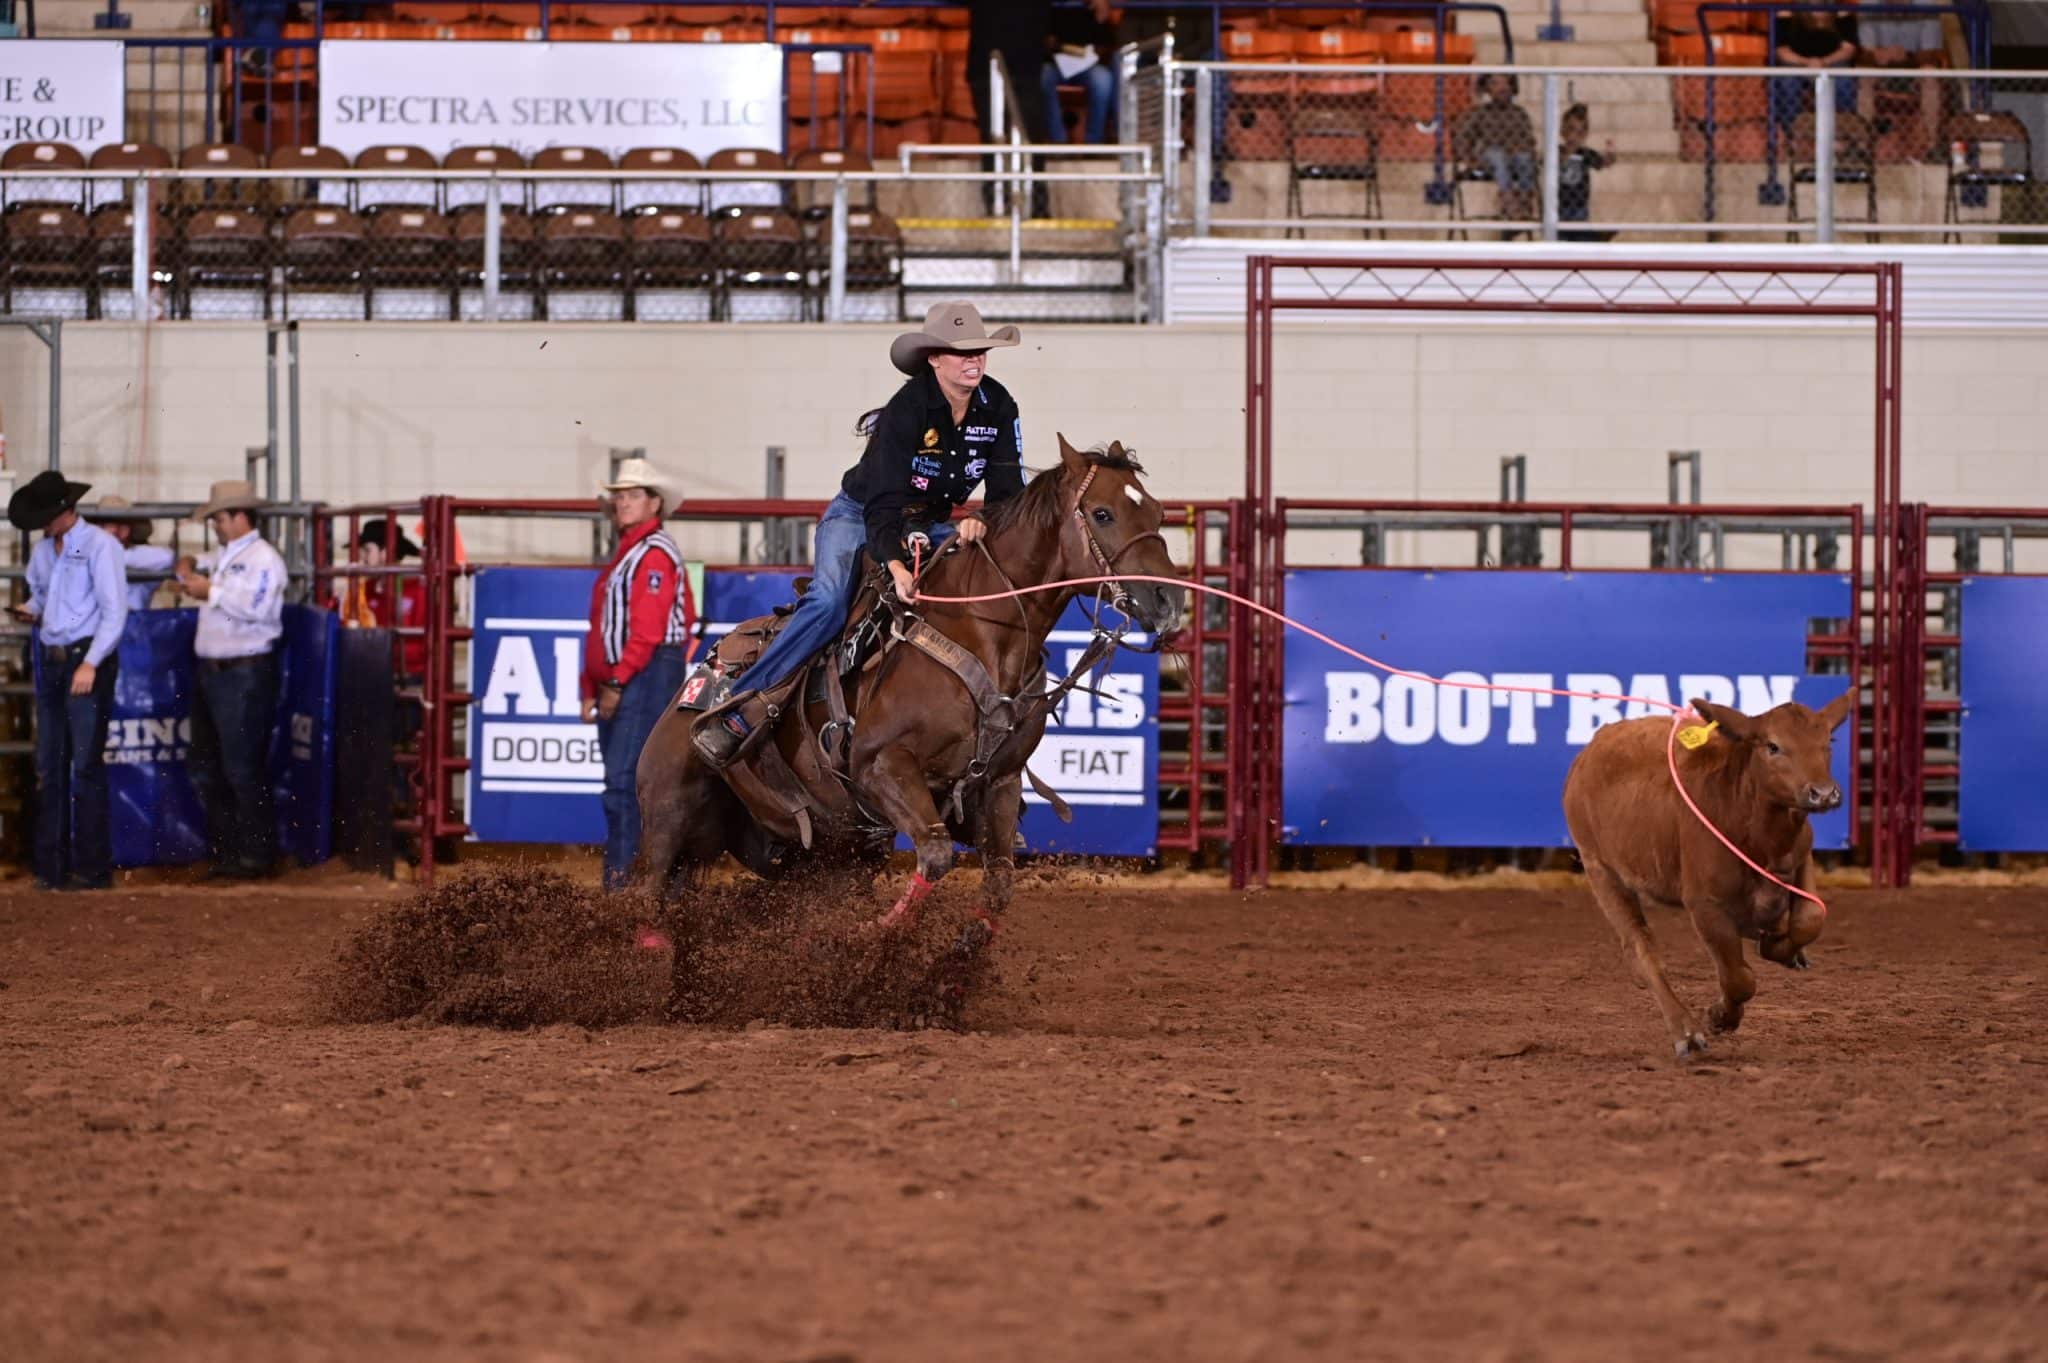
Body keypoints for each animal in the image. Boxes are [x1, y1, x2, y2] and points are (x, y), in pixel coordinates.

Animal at [634, 435, 1187, 925]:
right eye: (1103, 513)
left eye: (1159, 514)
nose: (1169, 601)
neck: (983, 634)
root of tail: (706, 672)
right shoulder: (881, 764)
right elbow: (936, 855)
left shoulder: (999, 784)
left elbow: (999, 885)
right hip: (667, 815)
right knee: (649, 902)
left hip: (813, 852)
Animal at [1564, 691, 1859, 1064]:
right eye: (1773, 746)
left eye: (1828, 741)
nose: (1823, 793)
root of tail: (1591, 750)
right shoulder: (1706, 906)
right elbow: (1739, 978)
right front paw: (1720, 1016)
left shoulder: (1801, 857)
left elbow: (1810, 918)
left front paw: (1781, 945)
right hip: (1600, 869)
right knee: (1642, 949)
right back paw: (1685, 1032)